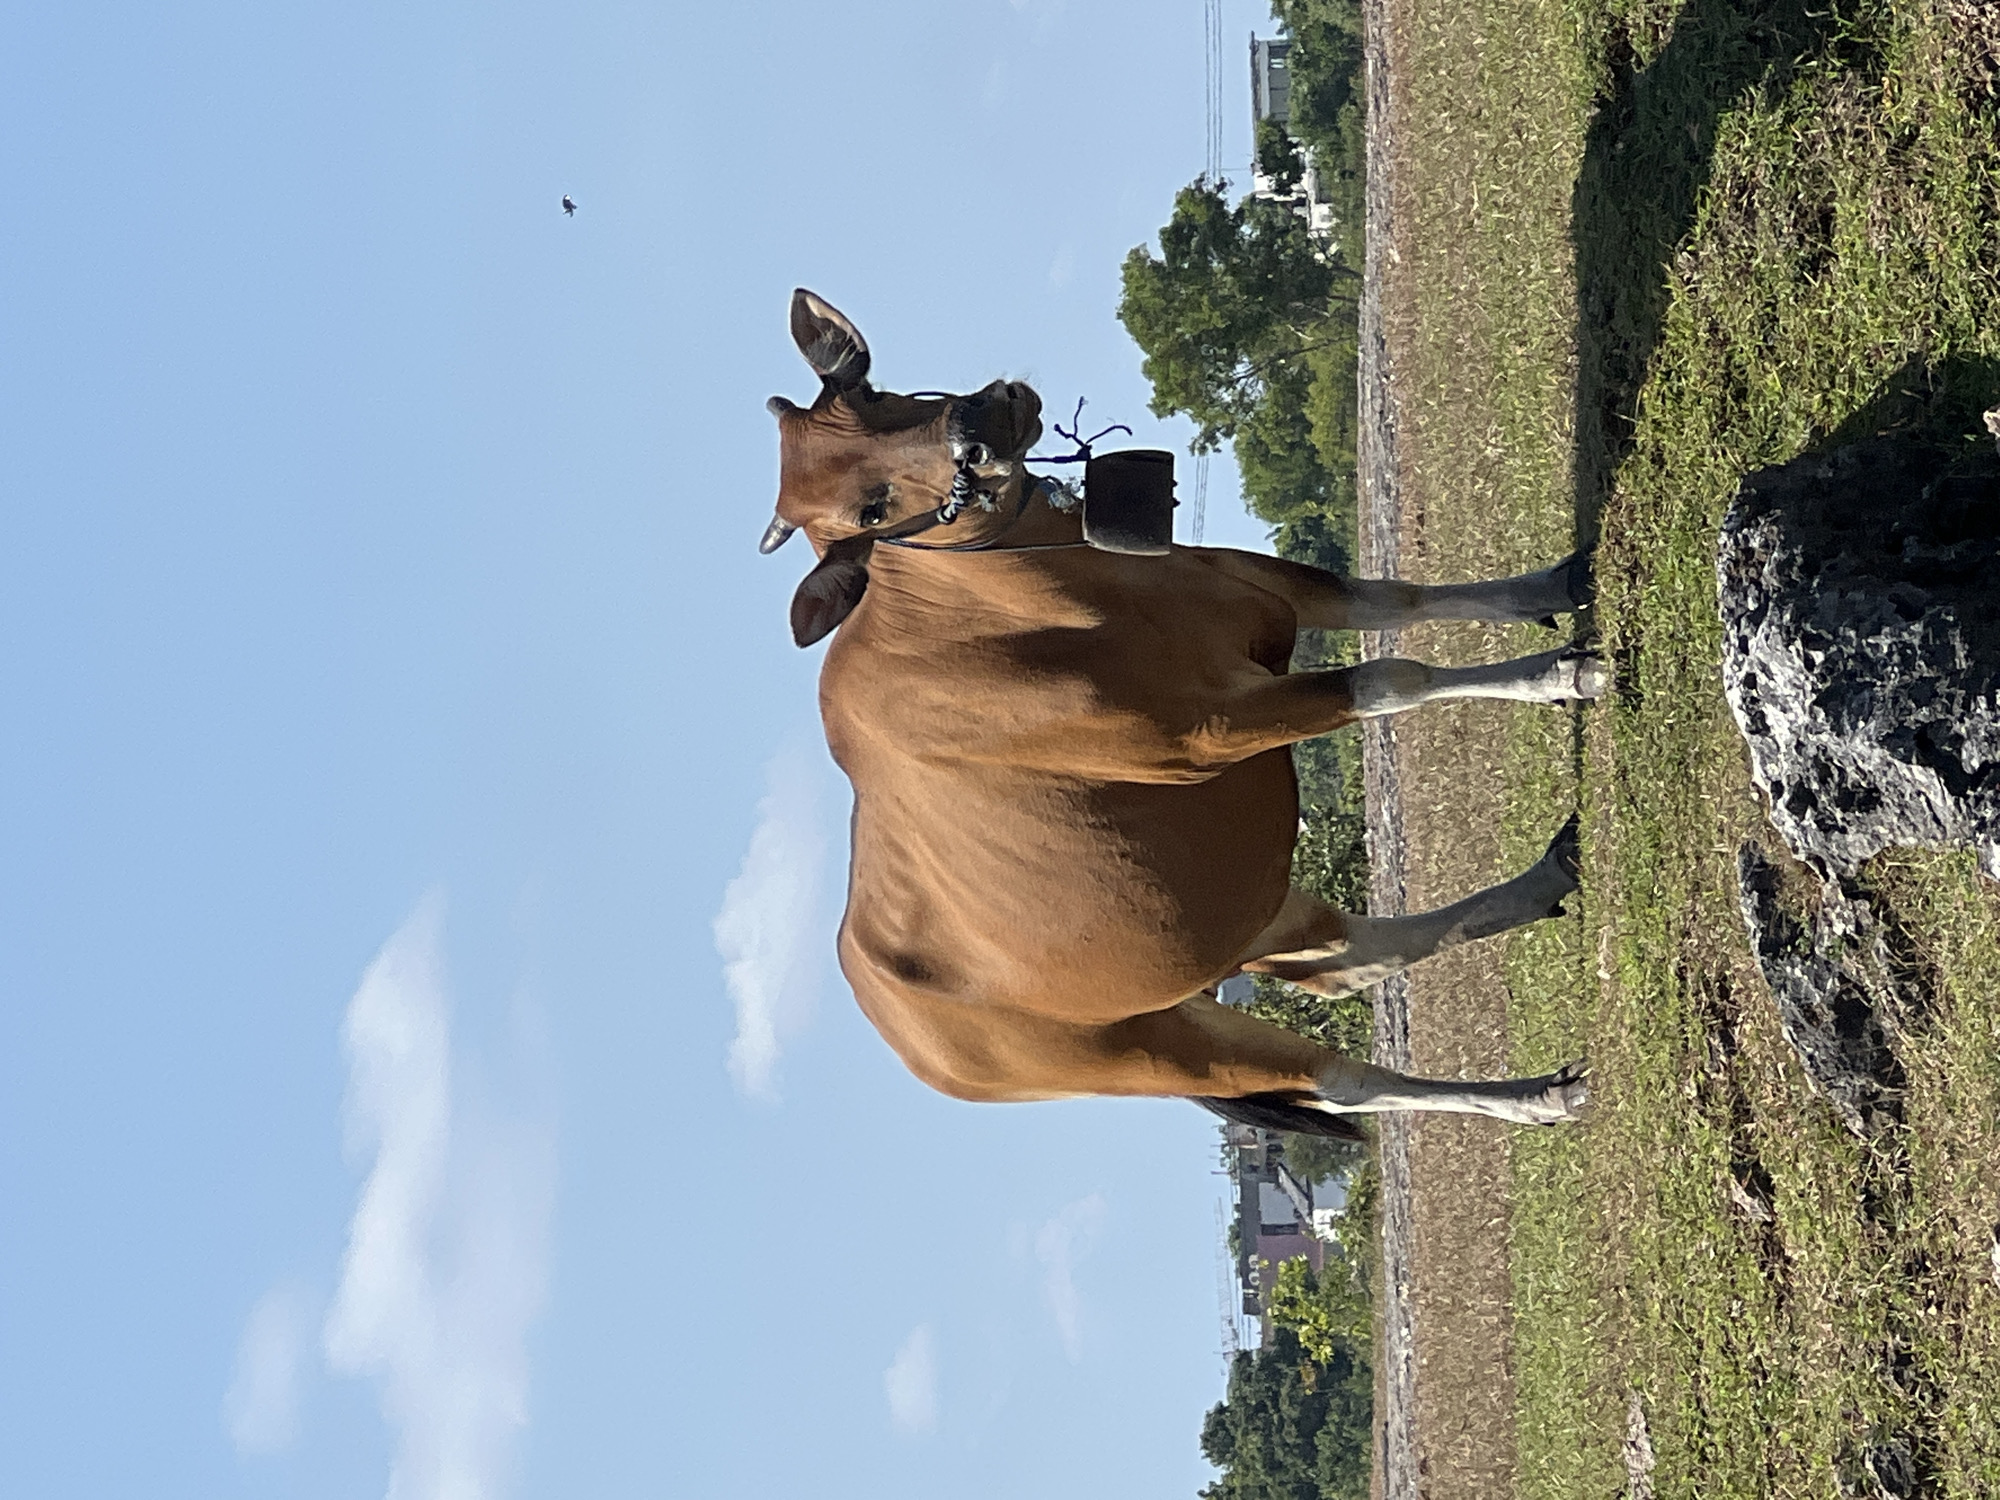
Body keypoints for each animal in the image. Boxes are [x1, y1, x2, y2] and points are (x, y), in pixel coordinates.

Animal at [760, 289, 1599, 1138]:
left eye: (870, 396)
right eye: (869, 509)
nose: (982, 421)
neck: (1042, 595)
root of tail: (907, 1030)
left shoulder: (1268, 590)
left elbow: (1399, 600)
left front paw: (1561, 585)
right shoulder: (1212, 733)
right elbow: (1392, 677)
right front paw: (1562, 674)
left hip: (1251, 923)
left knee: (1358, 959)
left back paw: (1549, 878)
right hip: (1162, 1050)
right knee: (1344, 1080)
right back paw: (1537, 1097)